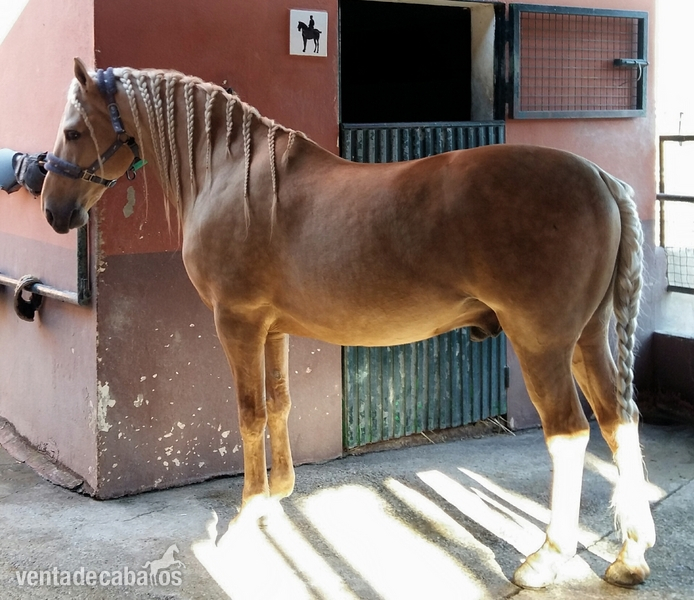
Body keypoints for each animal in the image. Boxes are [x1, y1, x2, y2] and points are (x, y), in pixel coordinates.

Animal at [41, 58, 655, 589]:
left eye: (73, 130)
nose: (52, 210)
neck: (230, 176)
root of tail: (600, 177)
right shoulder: (273, 328)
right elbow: (280, 405)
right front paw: (276, 498)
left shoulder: (237, 323)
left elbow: (250, 415)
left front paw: (246, 516)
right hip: (587, 340)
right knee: (617, 419)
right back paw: (629, 557)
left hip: (541, 343)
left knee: (570, 434)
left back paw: (546, 558)